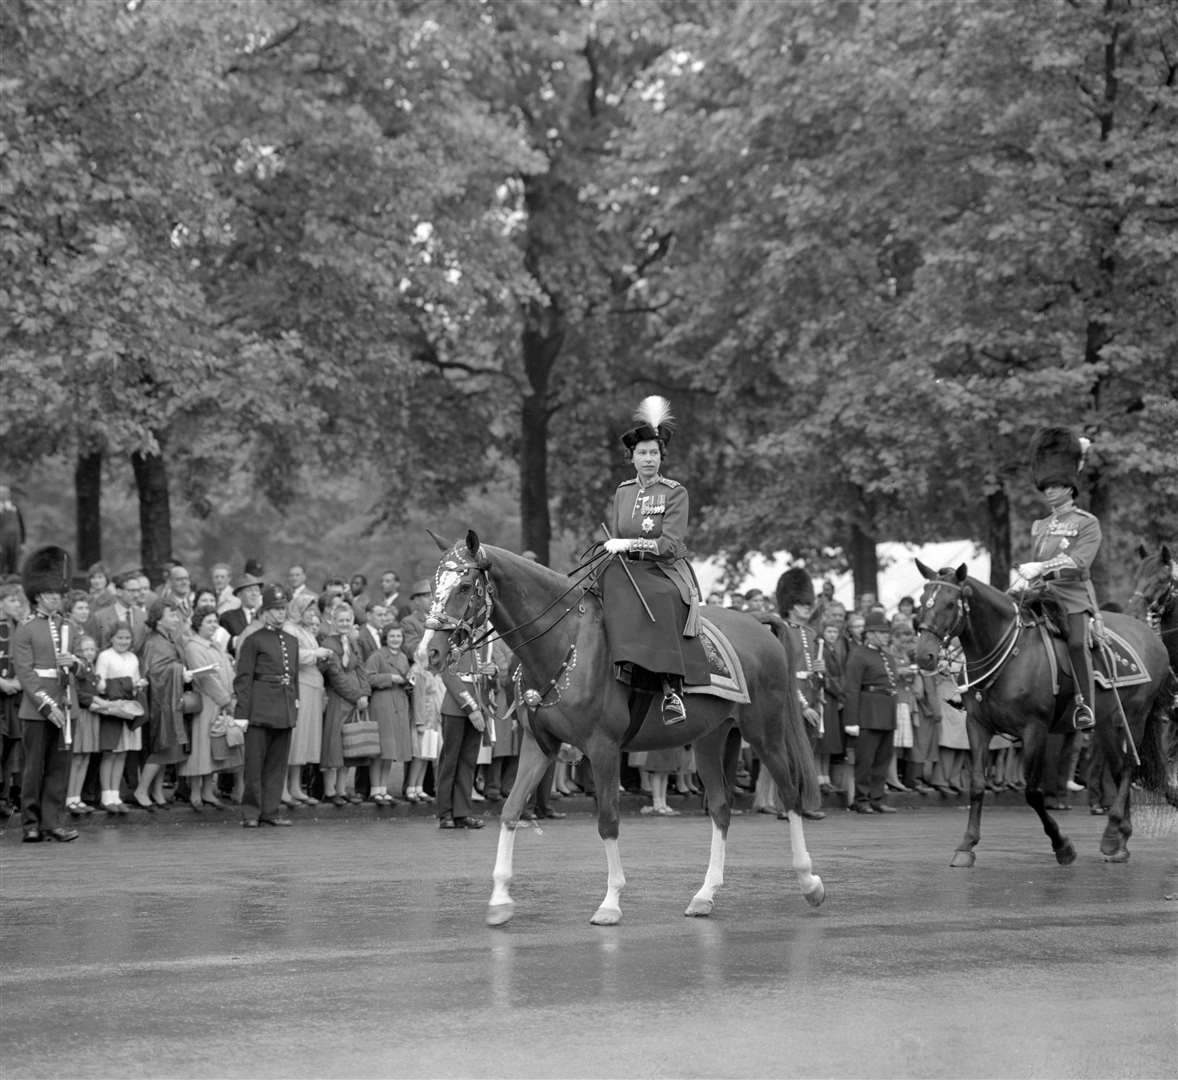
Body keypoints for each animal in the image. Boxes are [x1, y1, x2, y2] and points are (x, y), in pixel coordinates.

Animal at [419, 534, 824, 923]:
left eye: (465, 586)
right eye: (435, 584)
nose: (429, 653)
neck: (563, 642)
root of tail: (758, 625)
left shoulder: (603, 748)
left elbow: (608, 821)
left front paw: (611, 902)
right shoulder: (539, 746)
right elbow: (511, 810)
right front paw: (500, 899)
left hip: (765, 734)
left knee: (790, 796)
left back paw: (809, 882)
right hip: (710, 739)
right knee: (722, 809)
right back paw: (705, 895)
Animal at [909, 560, 1178, 862]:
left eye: (950, 603)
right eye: (923, 600)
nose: (923, 656)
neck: (1009, 653)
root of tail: (1151, 635)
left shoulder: (1034, 730)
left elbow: (1032, 792)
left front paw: (1062, 845)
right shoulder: (977, 726)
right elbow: (977, 786)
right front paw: (966, 846)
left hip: (1134, 716)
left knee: (1130, 765)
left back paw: (1112, 835)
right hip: (1107, 723)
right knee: (1119, 769)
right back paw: (1120, 837)